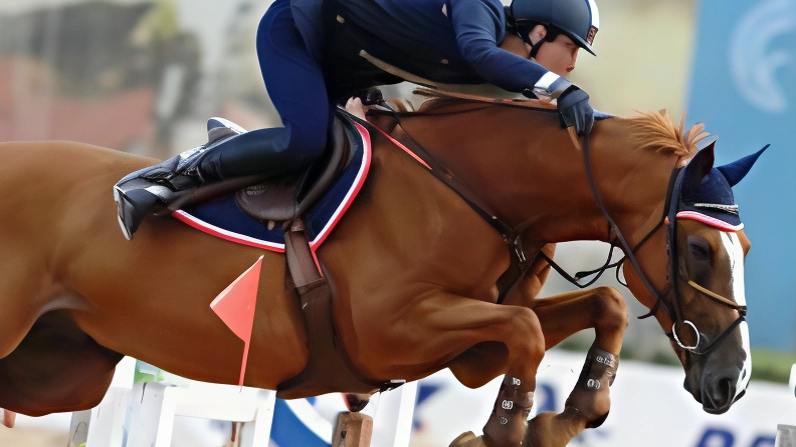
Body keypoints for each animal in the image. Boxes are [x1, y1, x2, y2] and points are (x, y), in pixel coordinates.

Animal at [0, 99, 760, 447]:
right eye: (699, 250)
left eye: (746, 249)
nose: (732, 382)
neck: (471, 190)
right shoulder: (392, 330)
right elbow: (525, 328)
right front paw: (502, 432)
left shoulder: (469, 350)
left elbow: (599, 306)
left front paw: (571, 415)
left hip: (59, 368)